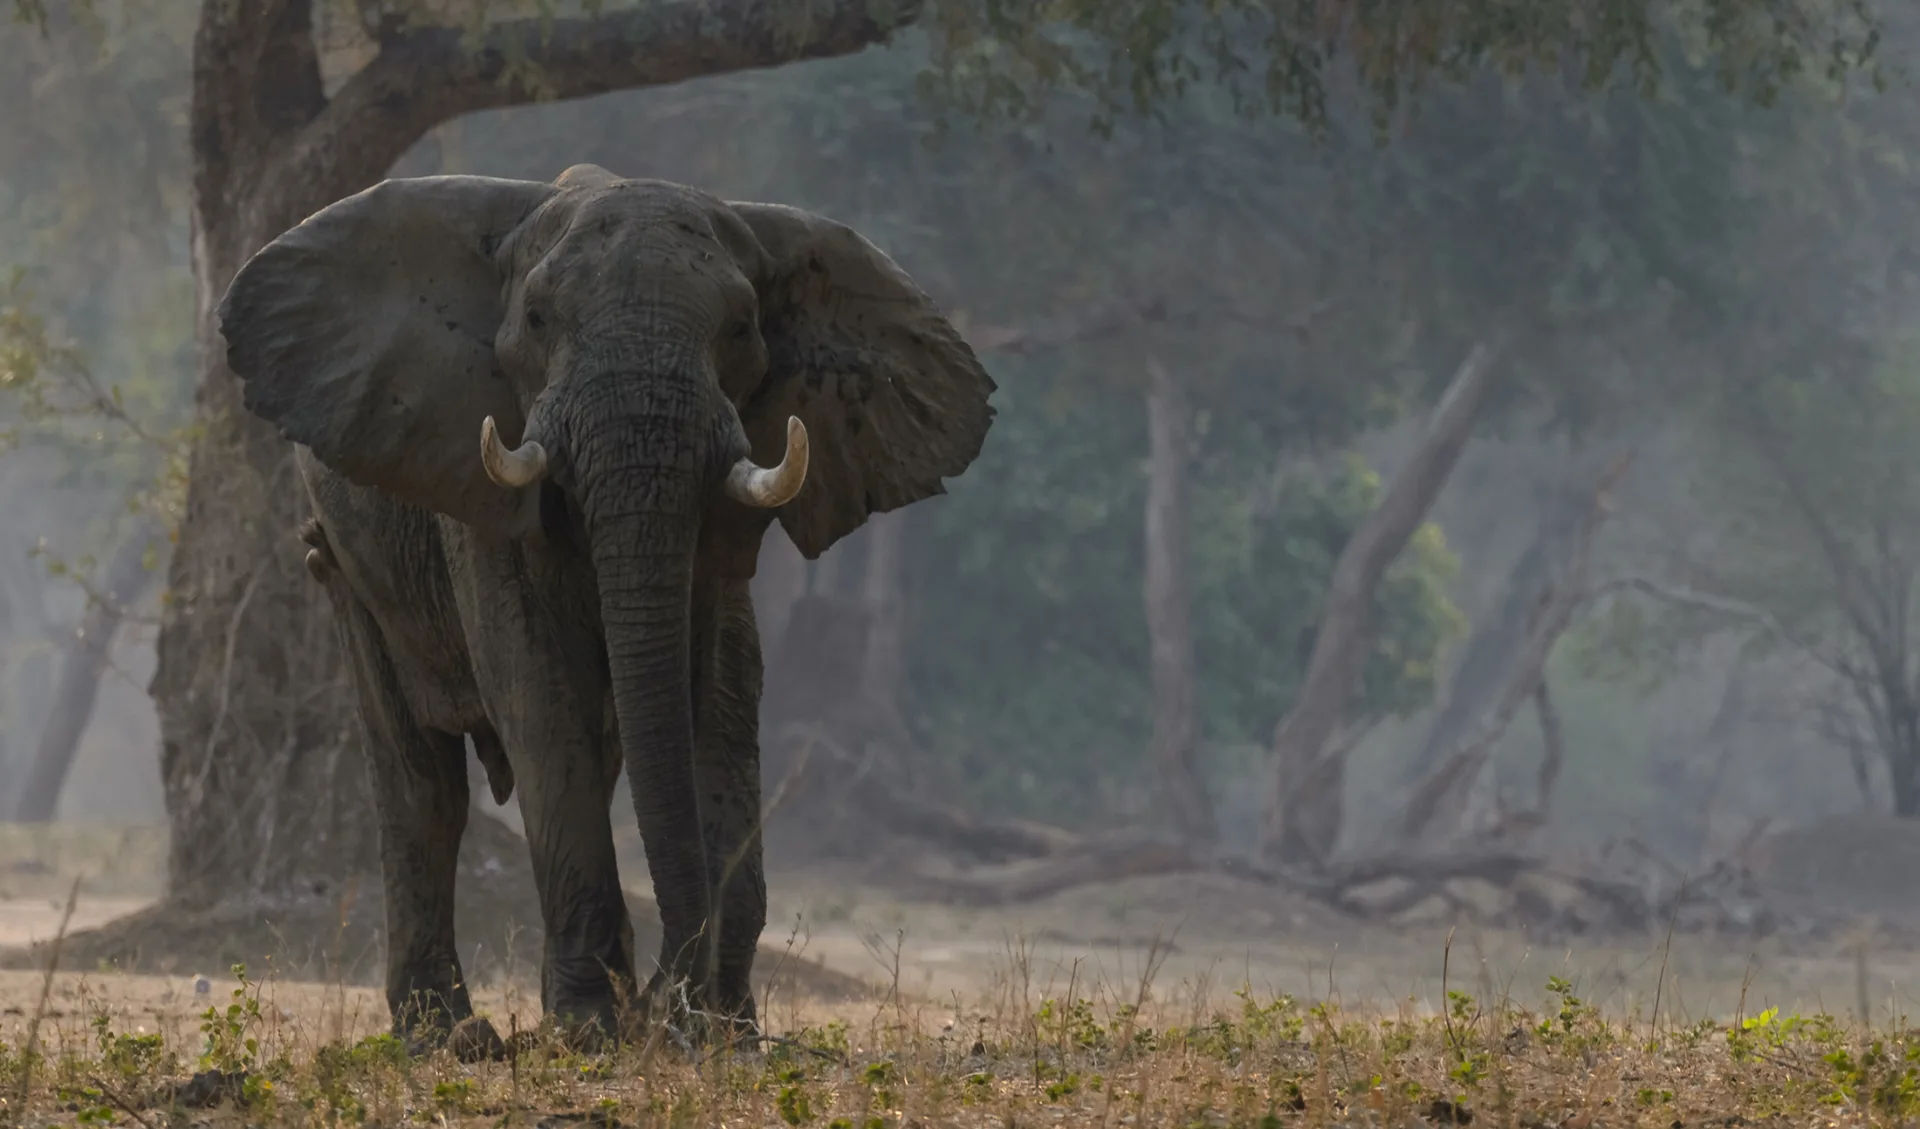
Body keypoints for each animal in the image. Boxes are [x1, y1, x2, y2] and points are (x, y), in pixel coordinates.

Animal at [216, 165, 998, 1052]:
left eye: (741, 327)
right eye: (536, 318)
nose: (670, 998)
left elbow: (720, 696)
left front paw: (723, 1031)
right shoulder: (476, 477)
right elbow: (537, 689)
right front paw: (591, 1028)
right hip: (351, 567)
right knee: (422, 783)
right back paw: (446, 1036)